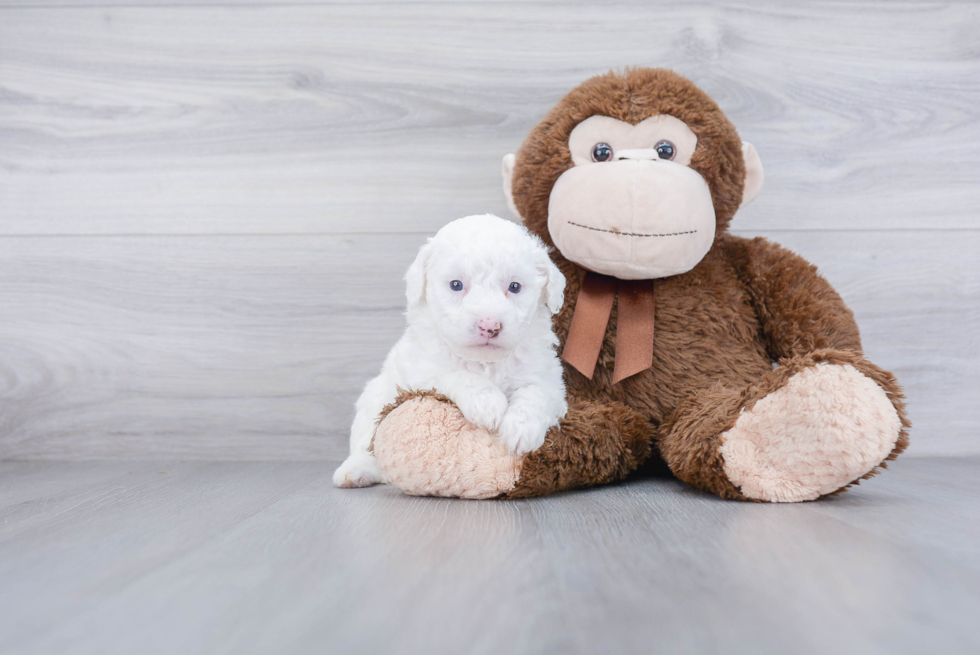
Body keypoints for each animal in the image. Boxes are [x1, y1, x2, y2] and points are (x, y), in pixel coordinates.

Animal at [334, 214, 568, 486]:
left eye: (515, 287)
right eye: (456, 285)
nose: (490, 325)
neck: (485, 362)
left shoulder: (549, 379)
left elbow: (536, 393)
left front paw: (522, 428)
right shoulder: (422, 372)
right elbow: (457, 375)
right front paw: (487, 403)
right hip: (375, 398)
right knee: (367, 444)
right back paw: (355, 470)